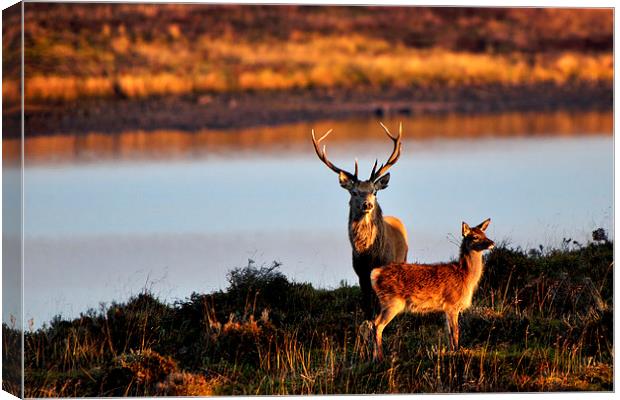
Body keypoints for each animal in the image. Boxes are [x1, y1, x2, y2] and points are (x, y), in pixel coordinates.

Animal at [312, 122, 410, 318]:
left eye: (375, 192)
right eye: (354, 192)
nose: (367, 204)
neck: (369, 255)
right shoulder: (360, 272)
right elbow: (367, 304)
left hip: (404, 258)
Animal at [368, 219, 494, 360]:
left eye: (485, 234)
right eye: (475, 237)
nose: (492, 243)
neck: (465, 277)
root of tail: (375, 273)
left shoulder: (446, 308)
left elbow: (449, 332)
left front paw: (452, 351)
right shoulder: (452, 304)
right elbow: (455, 331)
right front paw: (457, 352)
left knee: (372, 323)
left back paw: (374, 357)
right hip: (392, 301)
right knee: (378, 325)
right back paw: (380, 358)